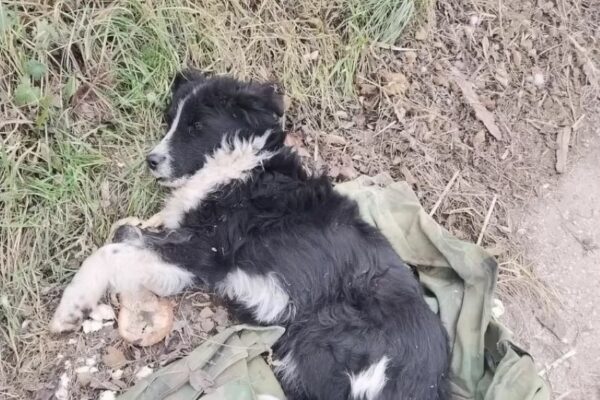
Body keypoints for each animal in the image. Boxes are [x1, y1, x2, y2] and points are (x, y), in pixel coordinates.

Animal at [51, 72, 448, 400]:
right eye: (170, 121)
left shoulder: (202, 254)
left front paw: (70, 309)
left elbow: (109, 252)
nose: (151, 161)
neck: (237, 167)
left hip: (324, 346)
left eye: (197, 126)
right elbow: (125, 234)